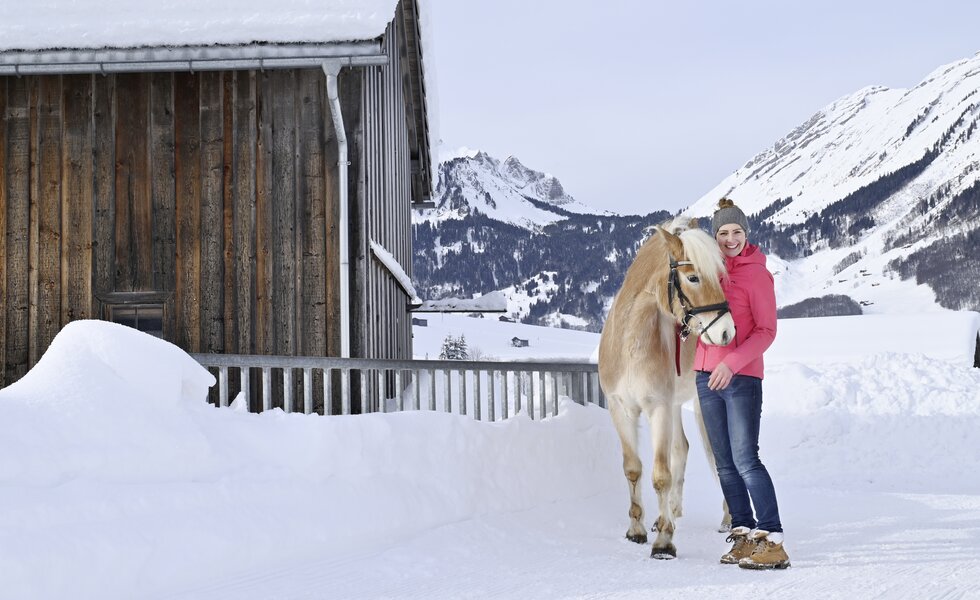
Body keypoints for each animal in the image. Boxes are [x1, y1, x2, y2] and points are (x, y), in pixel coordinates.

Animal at [597, 218, 735, 559]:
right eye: (693, 276)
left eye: (720, 276)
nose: (727, 332)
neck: (631, 342)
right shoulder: (620, 408)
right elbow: (633, 469)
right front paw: (637, 529)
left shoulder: (658, 407)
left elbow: (661, 475)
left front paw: (664, 541)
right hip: (675, 405)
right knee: (681, 448)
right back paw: (673, 510)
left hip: (699, 404)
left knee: (718, 455)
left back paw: (727, 518)